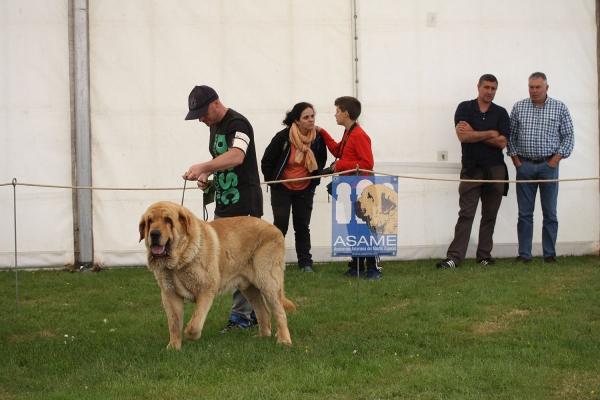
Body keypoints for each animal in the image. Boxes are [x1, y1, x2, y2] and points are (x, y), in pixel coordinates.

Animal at [137, 202, 296, 348]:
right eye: (150, 221)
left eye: (168, 220)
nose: (154, 234)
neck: (179, 261)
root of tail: (276, 229)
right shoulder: (169, 294)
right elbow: (174, 324)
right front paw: (173, 347)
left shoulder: (206, 289)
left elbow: (195, 323)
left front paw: (189, 334)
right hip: (249, 288)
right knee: (264, 311)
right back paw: (262, 337)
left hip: (267, 281)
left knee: (279, 312)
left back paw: (284, 340)